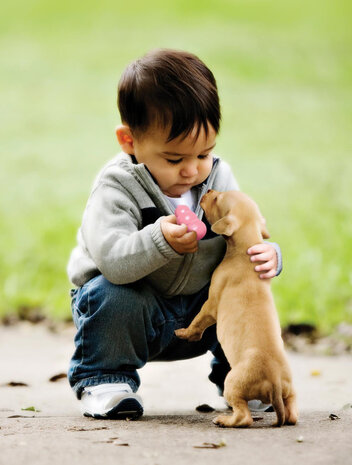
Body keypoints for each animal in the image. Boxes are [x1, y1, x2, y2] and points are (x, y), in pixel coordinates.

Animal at [175, 190, 298, 426]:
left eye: (217, 199)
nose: (209, 191)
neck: (244, 251)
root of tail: (275, 382)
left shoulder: (211, 305)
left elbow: (197, 321)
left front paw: (185, 333)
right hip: (290, 391)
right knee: (292, 415)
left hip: (232, 383)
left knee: (244, 417)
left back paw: (224, 420)